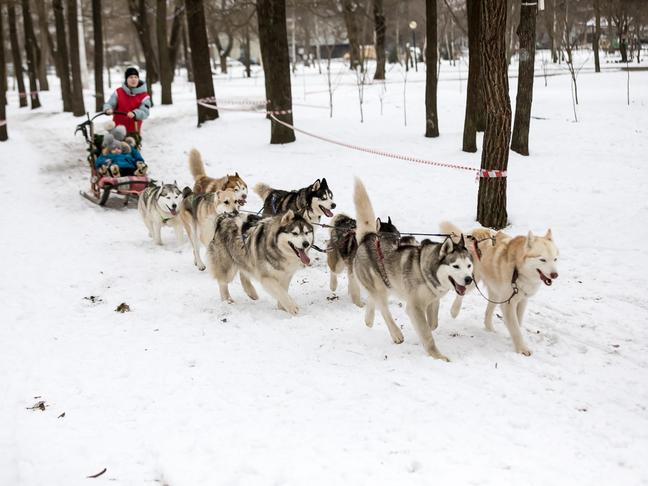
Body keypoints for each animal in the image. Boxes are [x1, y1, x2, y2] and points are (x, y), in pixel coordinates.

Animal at [352, 178, 474, 360]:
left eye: (469, 266)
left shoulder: (433, 300)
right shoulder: (414, 306)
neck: (425, 271)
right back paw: (396, 334)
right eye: (456, 266)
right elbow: (427, 334)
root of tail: (368, 237)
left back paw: (369, 319)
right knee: (384, 308)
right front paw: (438, 357)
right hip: (379, 287)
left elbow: (432, 324)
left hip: (385, 284)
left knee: (374, 301)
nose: (468, 279)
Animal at [442, 222, 560, 356]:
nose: (555, 275)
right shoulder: (508, 303)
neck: (517, 270)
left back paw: (490, 329)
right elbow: (515, 328)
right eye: (542, 259)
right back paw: (454, 310)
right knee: (460, 292)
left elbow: (518, 322)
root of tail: (473, 233)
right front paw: (522, 349)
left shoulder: (522, 300)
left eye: (555, 259)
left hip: (496, 294)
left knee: (488, 312)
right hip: (472, 280)